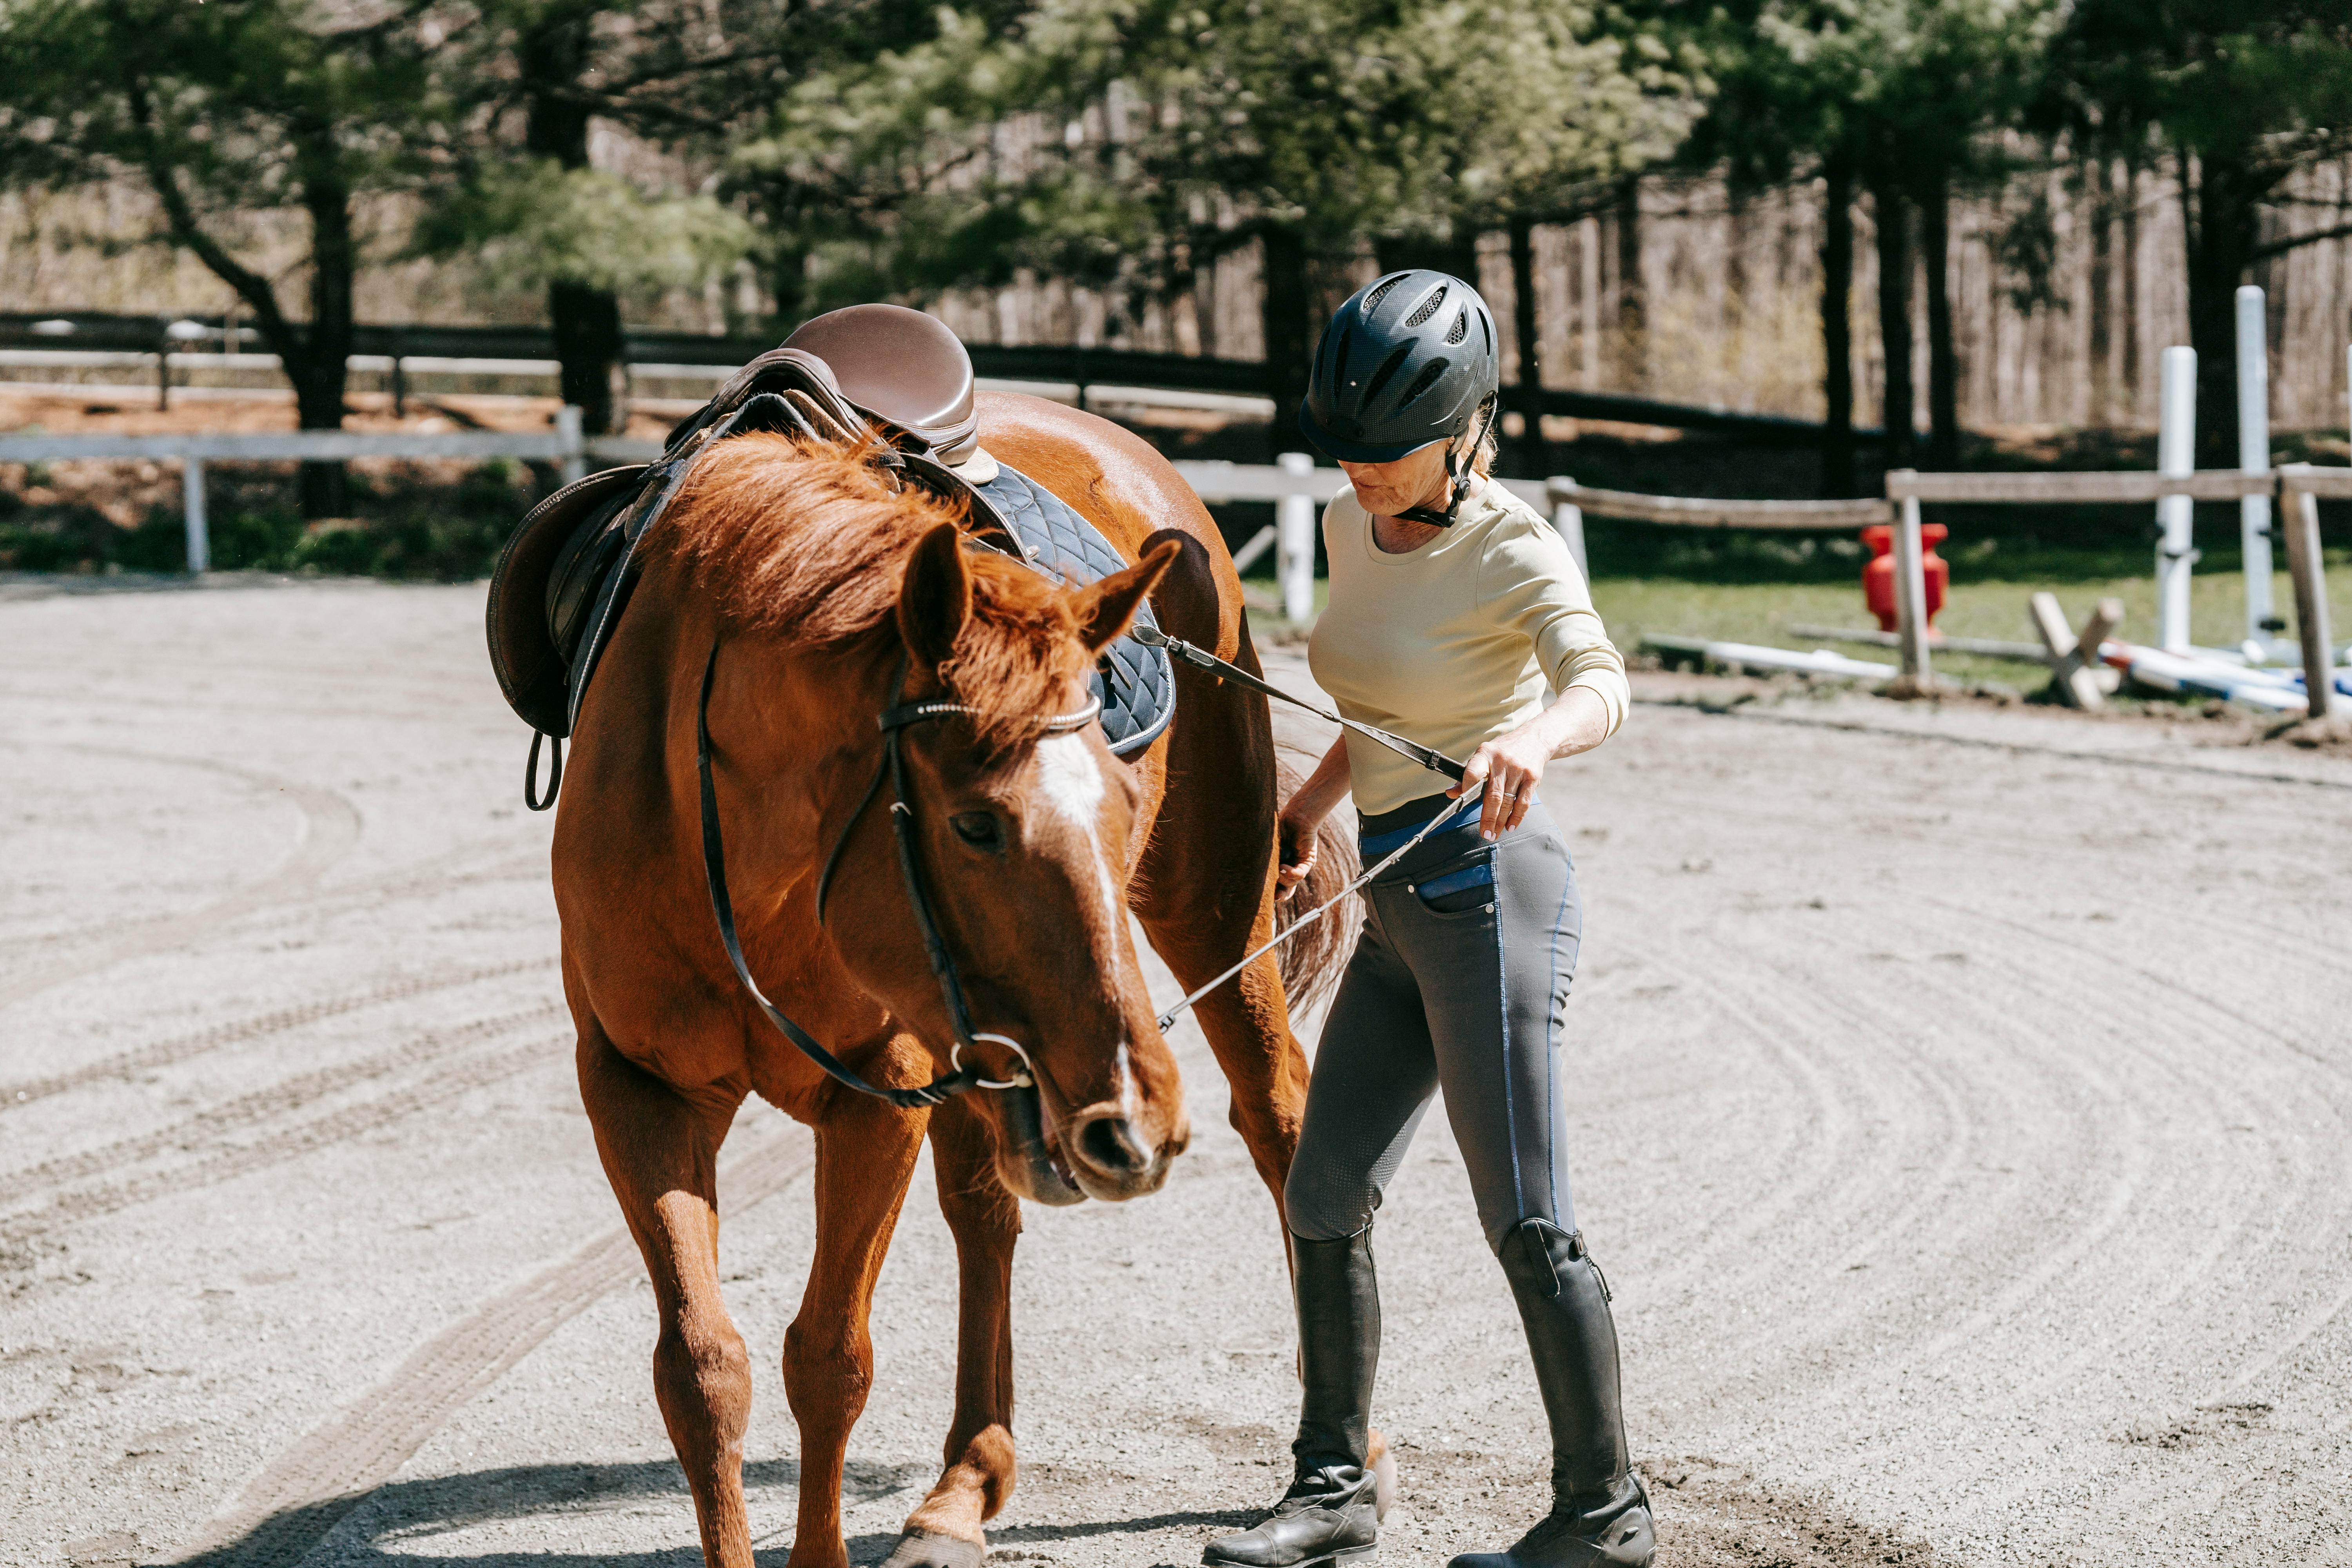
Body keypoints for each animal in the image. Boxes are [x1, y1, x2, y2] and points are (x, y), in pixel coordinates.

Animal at [546, 393, 1355, 1568]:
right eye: (976, 825)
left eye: (1123, 806)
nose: (1139, 1115)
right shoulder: (637, 1090)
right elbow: (702, 1371)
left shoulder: (876, 1097)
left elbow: (828, 1357)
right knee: (985, 1212)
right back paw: (964, 1486)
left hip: (1207, 916)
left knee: (1282, 1119)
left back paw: (1344, 1442)